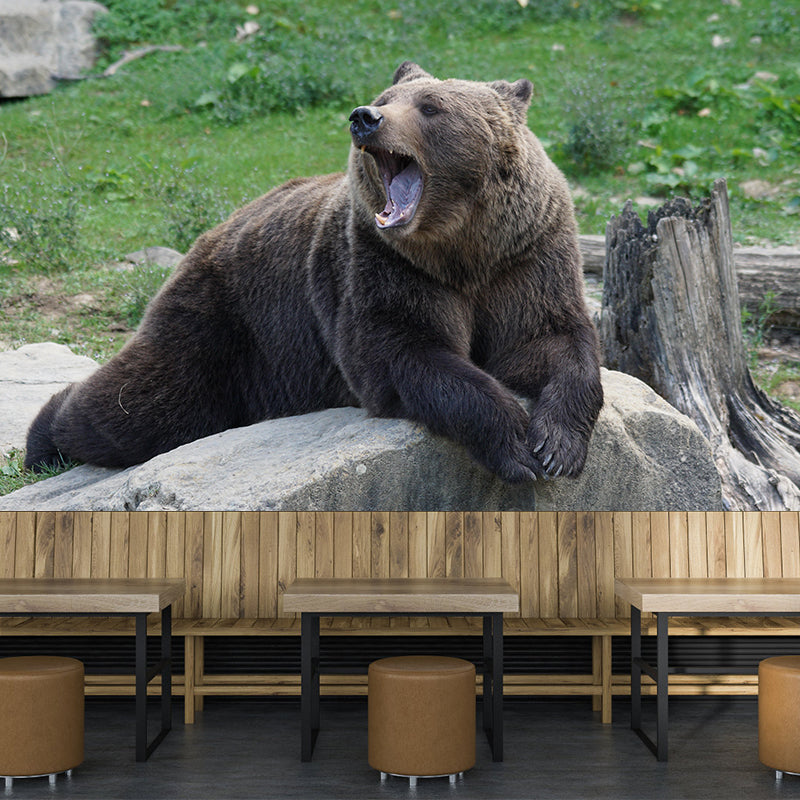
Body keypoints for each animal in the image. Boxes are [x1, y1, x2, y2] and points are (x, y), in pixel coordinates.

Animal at [25, 61, 603, 484]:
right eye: (387, 97)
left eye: (431, 106)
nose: (365, 117)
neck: (459, 248)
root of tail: (213, 232)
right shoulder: (383, 266)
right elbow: (406, 353)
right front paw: (515, 445)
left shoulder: (526, 256)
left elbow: (551, 341)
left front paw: (557, 447)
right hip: (227, 323)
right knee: (145, 406)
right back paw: (43, 439)